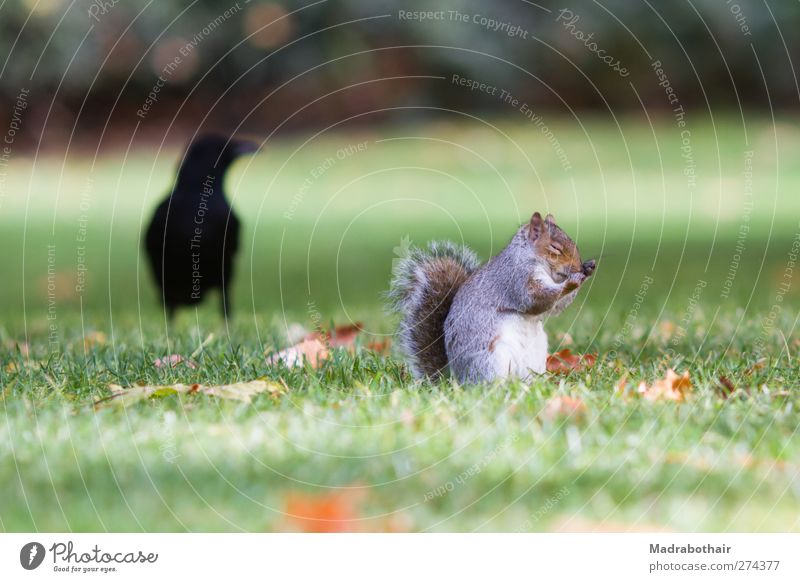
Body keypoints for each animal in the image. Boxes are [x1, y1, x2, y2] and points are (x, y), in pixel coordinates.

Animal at [388, 212, 592, 386]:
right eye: (555, 248)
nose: (578, 266)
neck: (527, 255)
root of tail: (457, 379)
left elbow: (555, 307)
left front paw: (588, 270)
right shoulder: (517, 278)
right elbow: (536, 298)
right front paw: (573, 280)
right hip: (492, 359)